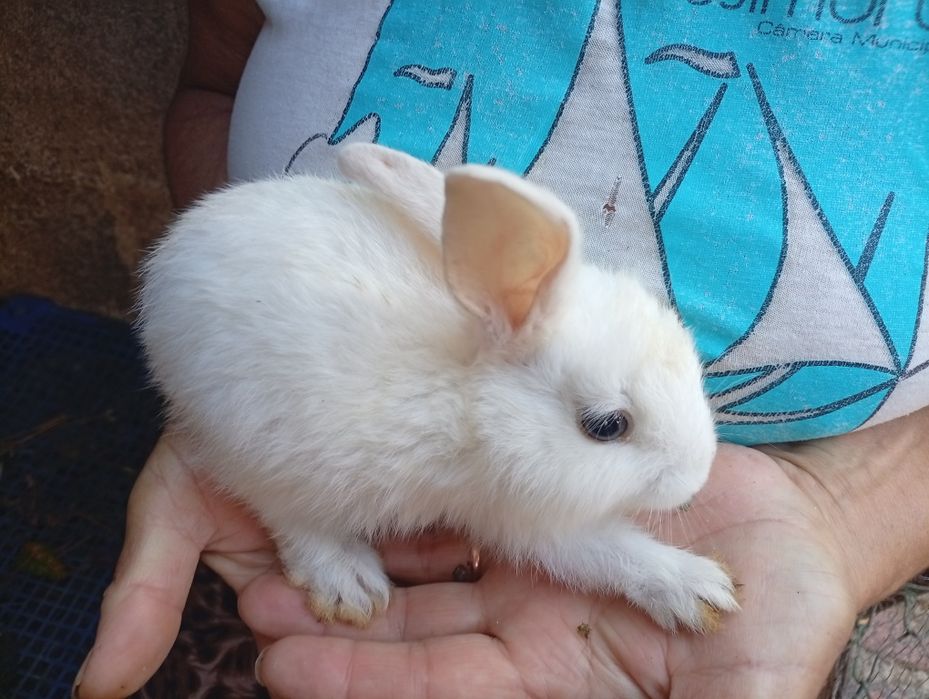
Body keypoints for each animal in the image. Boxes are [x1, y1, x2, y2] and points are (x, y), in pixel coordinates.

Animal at [138, 143, 738, 633]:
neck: (471, 403)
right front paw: (700, 588)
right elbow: (606, 550)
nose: (696, 478)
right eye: (607, 426)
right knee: (285, 514)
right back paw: (349, 584)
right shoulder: (520, 510)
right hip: (263, 445)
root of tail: (168, 266)